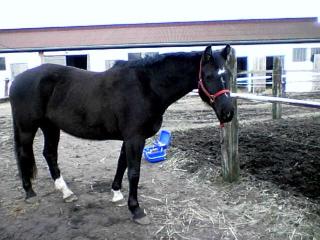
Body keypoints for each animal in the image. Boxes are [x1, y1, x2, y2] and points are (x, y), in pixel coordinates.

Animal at [10, 45, 235, 225]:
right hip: (27, 128)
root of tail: (17, 79)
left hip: (50, 127)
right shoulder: (135, 138)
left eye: (229, 75)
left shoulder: (129, 139)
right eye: (209, 76)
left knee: (49, 154)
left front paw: (117, 194)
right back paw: (30, 192)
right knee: (23, 154)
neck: (147, 87)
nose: (228, 112)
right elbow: (134, 172)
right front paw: (136, 210)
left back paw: (66, 192)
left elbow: (121, 164)